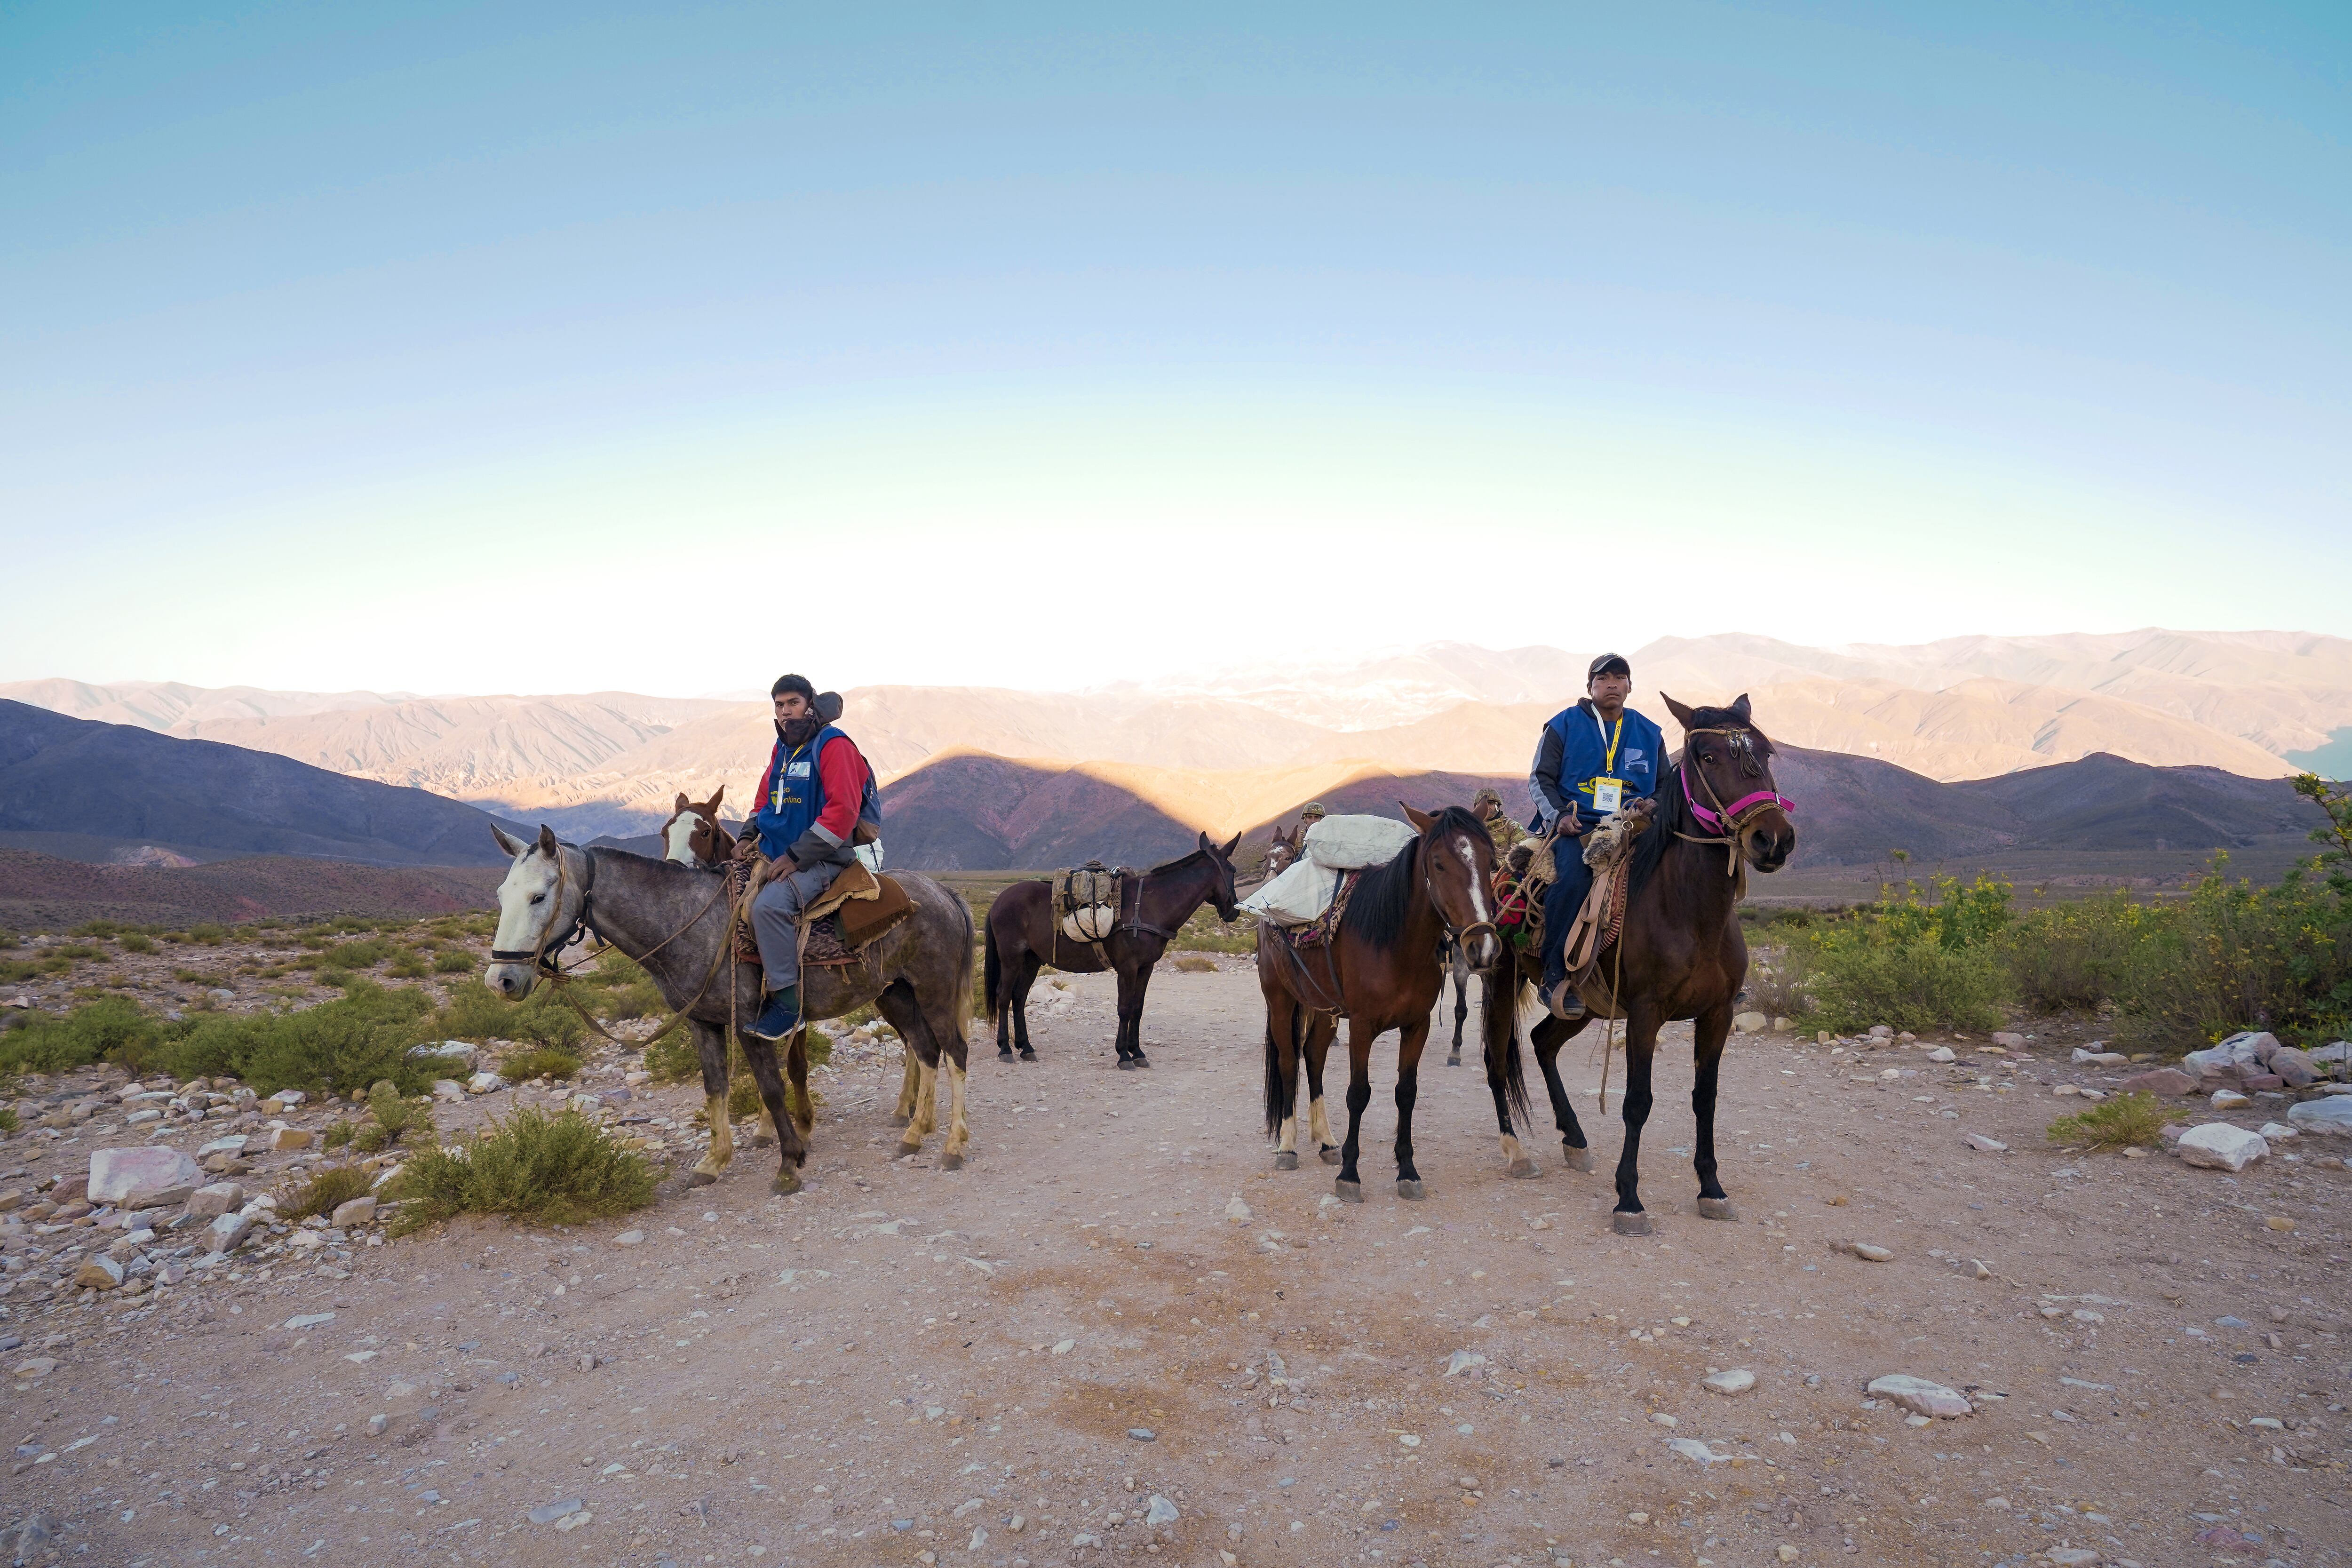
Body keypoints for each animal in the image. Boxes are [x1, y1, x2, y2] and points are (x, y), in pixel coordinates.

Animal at [485, 822, 974, 1189]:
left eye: (539, 896)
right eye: (502, 895)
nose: (501, 980)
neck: (686, 921)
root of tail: (944, 892)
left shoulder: (753, 1024)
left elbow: (772, 1088)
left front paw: (789, 1164)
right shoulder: (702, 1022)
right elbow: (715, 1087)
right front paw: (714, 1161)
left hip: (934, 989)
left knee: (954, 1052)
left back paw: (952, 1146)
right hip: (897, 993)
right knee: (925, 1049)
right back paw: (914, 1134)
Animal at [983, 832, 1251, 1067]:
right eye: (1233, 871)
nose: (1234, 911)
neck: (1151, 905)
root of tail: (999, 901)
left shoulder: (1146, 968)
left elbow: (1137, 1008)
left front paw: (1138, 1052)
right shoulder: (1127, 967)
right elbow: (1124, 1008)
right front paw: (1124, 1055)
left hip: (1031, 960)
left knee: (1019, 997)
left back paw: (1026, 1047)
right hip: (1011, 958)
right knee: (1004, 996)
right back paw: (1005, 1049)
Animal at [1261, 808, 1496, 1203]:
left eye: (1491, 861)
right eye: (1438, 863)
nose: (1482, 947)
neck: (1396, 943)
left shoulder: (1417, 1025)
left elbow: (1407, 1093)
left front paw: (1408, 1171)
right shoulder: (1362, 1025)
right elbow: (1359, 1094)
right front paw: (1350, 1176)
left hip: (1324, 1010)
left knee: (1314, 1058)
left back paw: (1326, 1141)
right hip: (1281, 1002)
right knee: (1290, 1063)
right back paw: (1288, 1146)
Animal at [1486, 691, 1797, 1232]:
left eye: (1765, 754)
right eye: (1707, 757)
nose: (1772, 839)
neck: (1691, 913)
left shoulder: (1718, 1014)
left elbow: (1705, 1099)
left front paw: (1712, 1189)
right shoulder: (1646, 1014)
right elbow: (1637, 1102)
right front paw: (1628, 1199)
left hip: (1583, 1004)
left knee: (1543, 1042)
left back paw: (1574, 1139)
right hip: (1502, 979)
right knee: (1497, 1060)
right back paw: (1517, 1152)